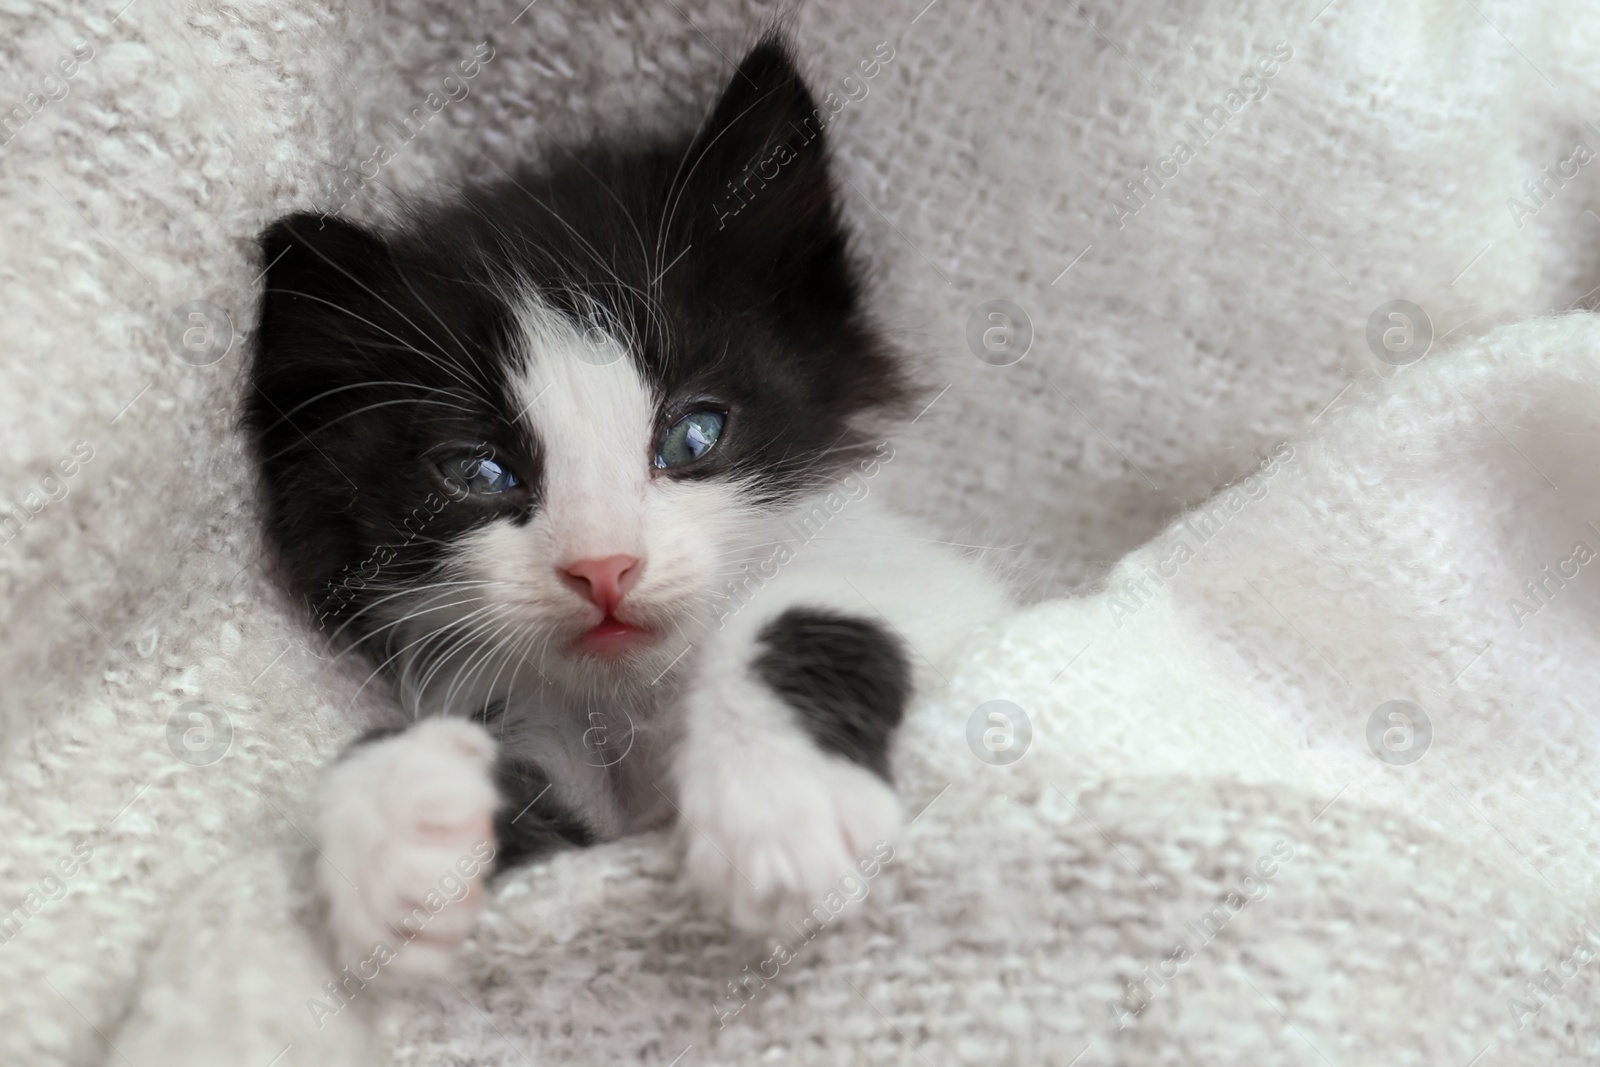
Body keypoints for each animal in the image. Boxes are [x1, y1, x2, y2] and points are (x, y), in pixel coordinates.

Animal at [243, 35, 1004, 979]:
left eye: (693, 435)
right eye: (480, 471)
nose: (603, 567)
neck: (633, 705)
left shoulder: (947, 595)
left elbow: (818, 601)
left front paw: (777, 799)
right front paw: (401, 809)